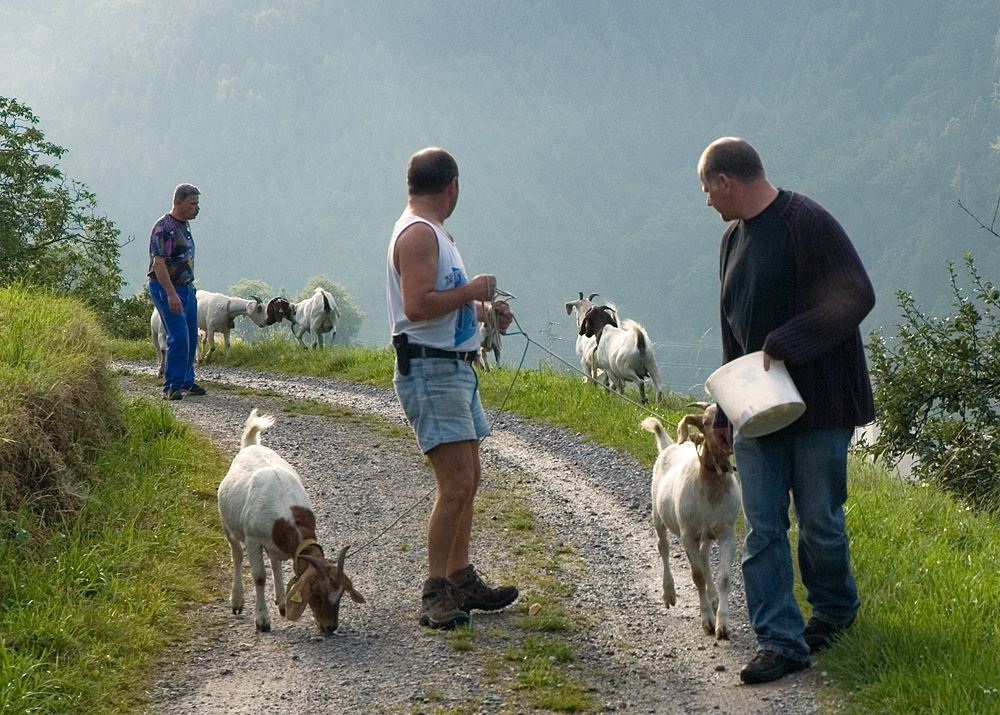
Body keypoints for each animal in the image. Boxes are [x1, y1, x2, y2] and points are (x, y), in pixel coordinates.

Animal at [217, 412, 366, 636]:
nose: (330, 627)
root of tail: (251, 446)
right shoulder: (253, 540)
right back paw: (237, 601)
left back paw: (281, 603)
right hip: (228, 524)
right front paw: (262, 620)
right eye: (315, 592)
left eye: (341, 594)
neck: (289, 517)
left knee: (275, 562)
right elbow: (259, 577)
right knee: (236, 553)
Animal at [644, 406, 740, 640]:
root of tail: (669, 446)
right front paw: (707, 621)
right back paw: (669, 593)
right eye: (706, 422)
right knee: (663, 547)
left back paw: (713, 598)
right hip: (659, 517)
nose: (729, 440)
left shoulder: (727, 533)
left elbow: (724, 577)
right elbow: (697, 577)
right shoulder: (687, 534)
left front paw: (722, 624)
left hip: (705, 532)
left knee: (704, 556)